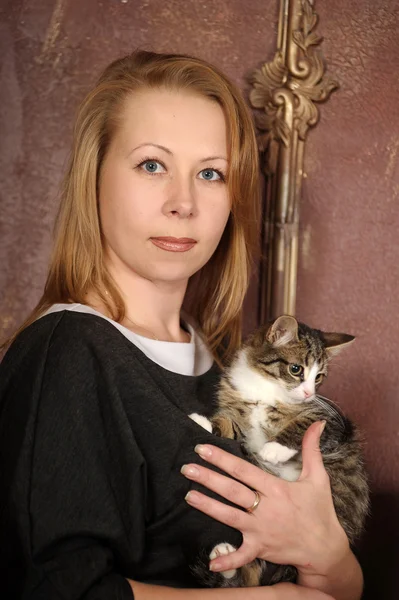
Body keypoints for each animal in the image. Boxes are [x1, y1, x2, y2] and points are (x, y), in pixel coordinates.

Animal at [190, 316, 368, 588]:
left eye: (319, 377)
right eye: (296, 369)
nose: (309, 393)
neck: (265, 391)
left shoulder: (329, 420)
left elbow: (303, 424)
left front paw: (274, 448)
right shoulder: (238, 409)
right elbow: (230, 425)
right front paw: (206, 423)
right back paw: (224, 562)